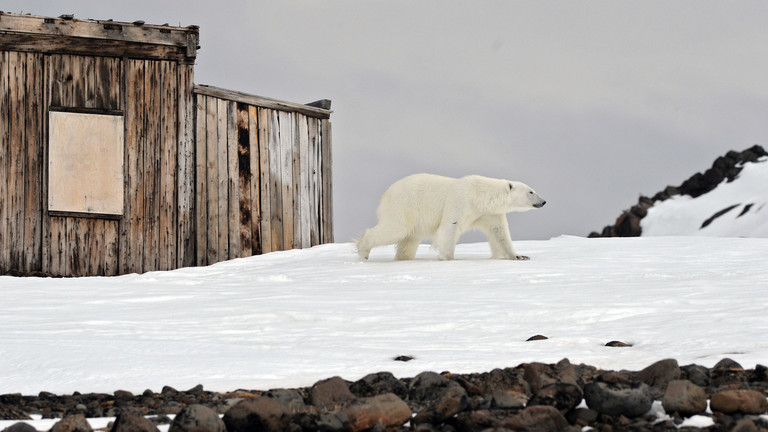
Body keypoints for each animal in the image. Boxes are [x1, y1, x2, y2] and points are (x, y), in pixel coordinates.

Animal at [356, 173, 544, 260]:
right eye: (531, 192)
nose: (543, 201)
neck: (480, 194)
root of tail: (385, 194)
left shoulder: (488, 213)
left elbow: (499, 233)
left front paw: (519, 256)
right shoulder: (460, 201)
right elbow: (450, 226)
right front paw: (448, 258)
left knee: (408, 241)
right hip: (404, 206)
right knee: (395, 228)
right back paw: (363, 251)